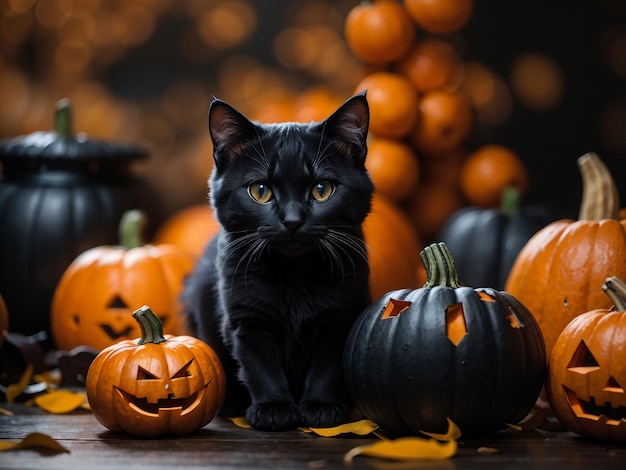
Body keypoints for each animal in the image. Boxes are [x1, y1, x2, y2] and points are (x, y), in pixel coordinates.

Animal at [183, 91, 372, 430]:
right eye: (260, 190)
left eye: (322, 189)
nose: (292, 220)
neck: (293, 276)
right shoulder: (246, 320)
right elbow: (261, 366)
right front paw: (274, 409)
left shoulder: (340, 317)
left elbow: (327, 366)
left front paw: (321, 407)